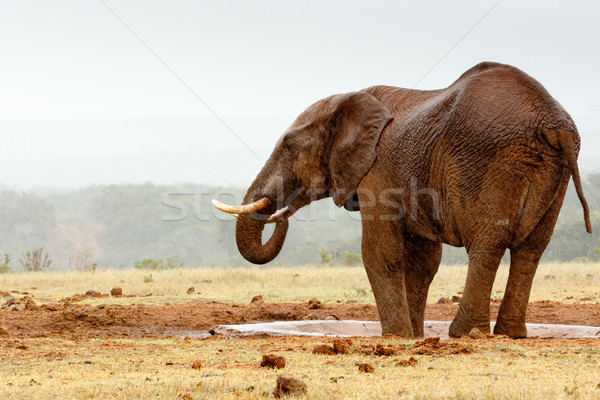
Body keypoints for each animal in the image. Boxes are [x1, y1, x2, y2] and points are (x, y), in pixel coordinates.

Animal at [212, 61, 592, 338]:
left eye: (289, 146)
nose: (281, 209)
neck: (349, 102)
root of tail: (554, 122)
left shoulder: (377, 172)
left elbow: (380, 252)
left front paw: (395, 337)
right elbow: (423, 261)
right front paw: (415, 336)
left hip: (491, 160)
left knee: (488, 244)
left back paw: (464, 333)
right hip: (554, 170)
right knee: (532, 249)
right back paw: (510, 333)